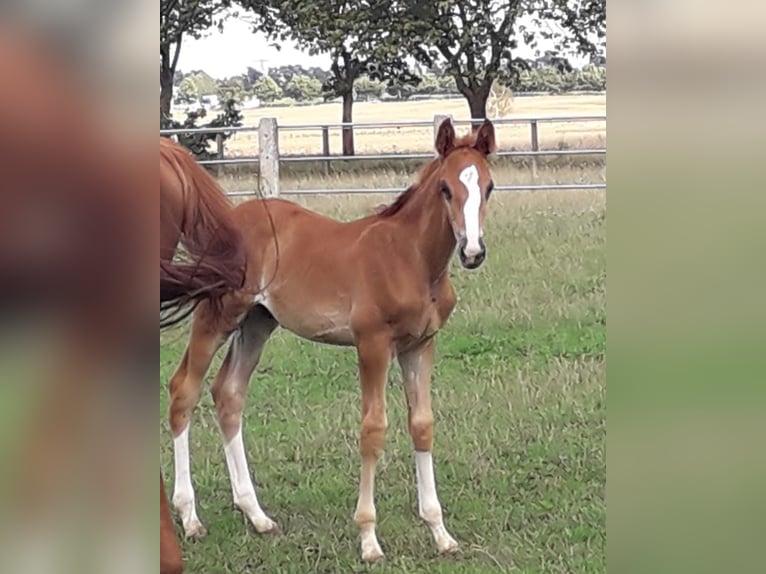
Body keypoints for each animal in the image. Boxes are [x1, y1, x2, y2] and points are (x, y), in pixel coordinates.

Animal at [166, 118, 497, 561]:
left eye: (489, 186)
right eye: (445, 188)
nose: (472, 252)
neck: (411, 259)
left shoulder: (420, 345)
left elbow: (422, 425)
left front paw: (440, 532)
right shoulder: (373, 344)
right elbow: (373, 430)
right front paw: (369, 539)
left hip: (257, 322)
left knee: (229, 393)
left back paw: (256, 515)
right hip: (219, 314)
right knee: (184, 389)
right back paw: (190, 518)